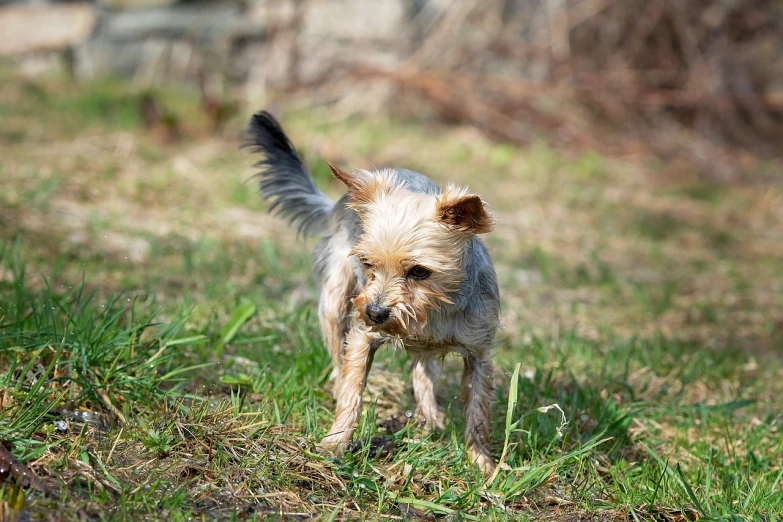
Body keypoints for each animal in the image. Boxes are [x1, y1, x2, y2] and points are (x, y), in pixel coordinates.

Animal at [245, 110, 502, 472]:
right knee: (339, 359)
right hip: (335, 302)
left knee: (423, 371)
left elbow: (478, 412)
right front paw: (335, 443)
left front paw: (482, 464)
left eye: (419, 272)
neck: (434, 310)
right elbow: (352, 390)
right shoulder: (362, 336)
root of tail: (339, 202)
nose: (376, 312)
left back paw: (429, 419)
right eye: (367, 264)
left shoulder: (479, 352)